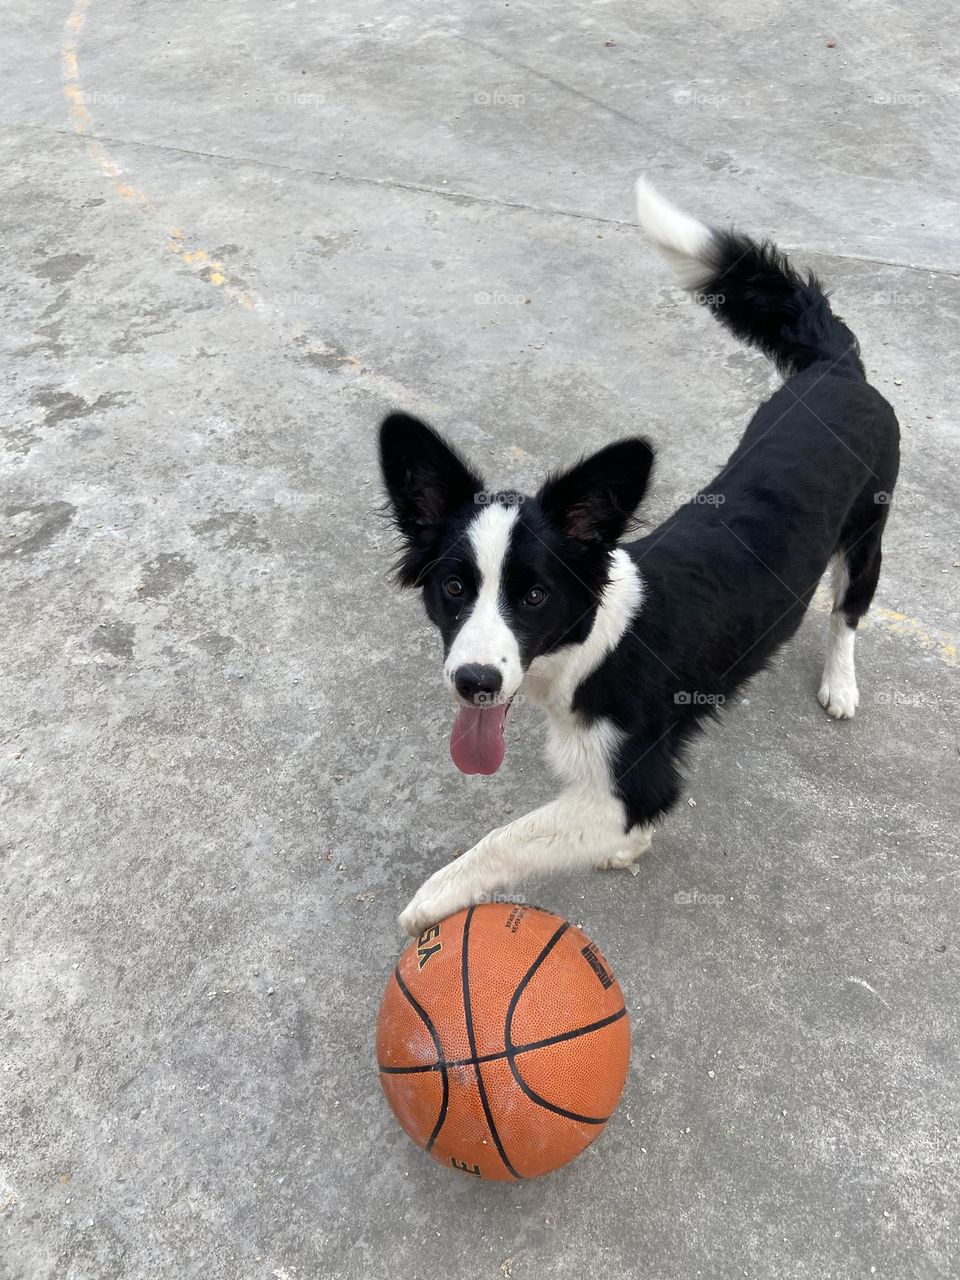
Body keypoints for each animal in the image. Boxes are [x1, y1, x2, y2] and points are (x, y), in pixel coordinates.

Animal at [378, 180, 901, 936]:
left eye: (534, 596)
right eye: (453, 587)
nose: (475, 683)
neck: (595, 645)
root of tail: (836, 369)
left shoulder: (633, 780)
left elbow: (509, 837)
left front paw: (436, 895)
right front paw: (630, 850)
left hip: (868, 534)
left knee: (848, 612)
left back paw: (841, 682)